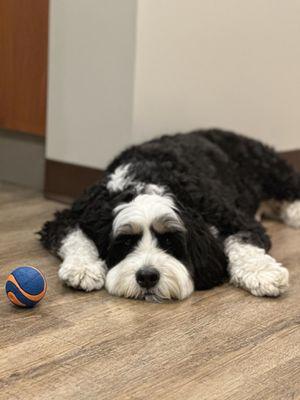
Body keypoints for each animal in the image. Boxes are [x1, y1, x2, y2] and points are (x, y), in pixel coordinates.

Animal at [40, 130, 300, 302]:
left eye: (168, 240)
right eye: (125, 243)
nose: (147, 277)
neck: (145, 180)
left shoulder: (232, 218)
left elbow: (243, 243)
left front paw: (262, 273)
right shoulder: (75, 214)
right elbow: (74, 236)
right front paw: (83, 268)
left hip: (271, 171)